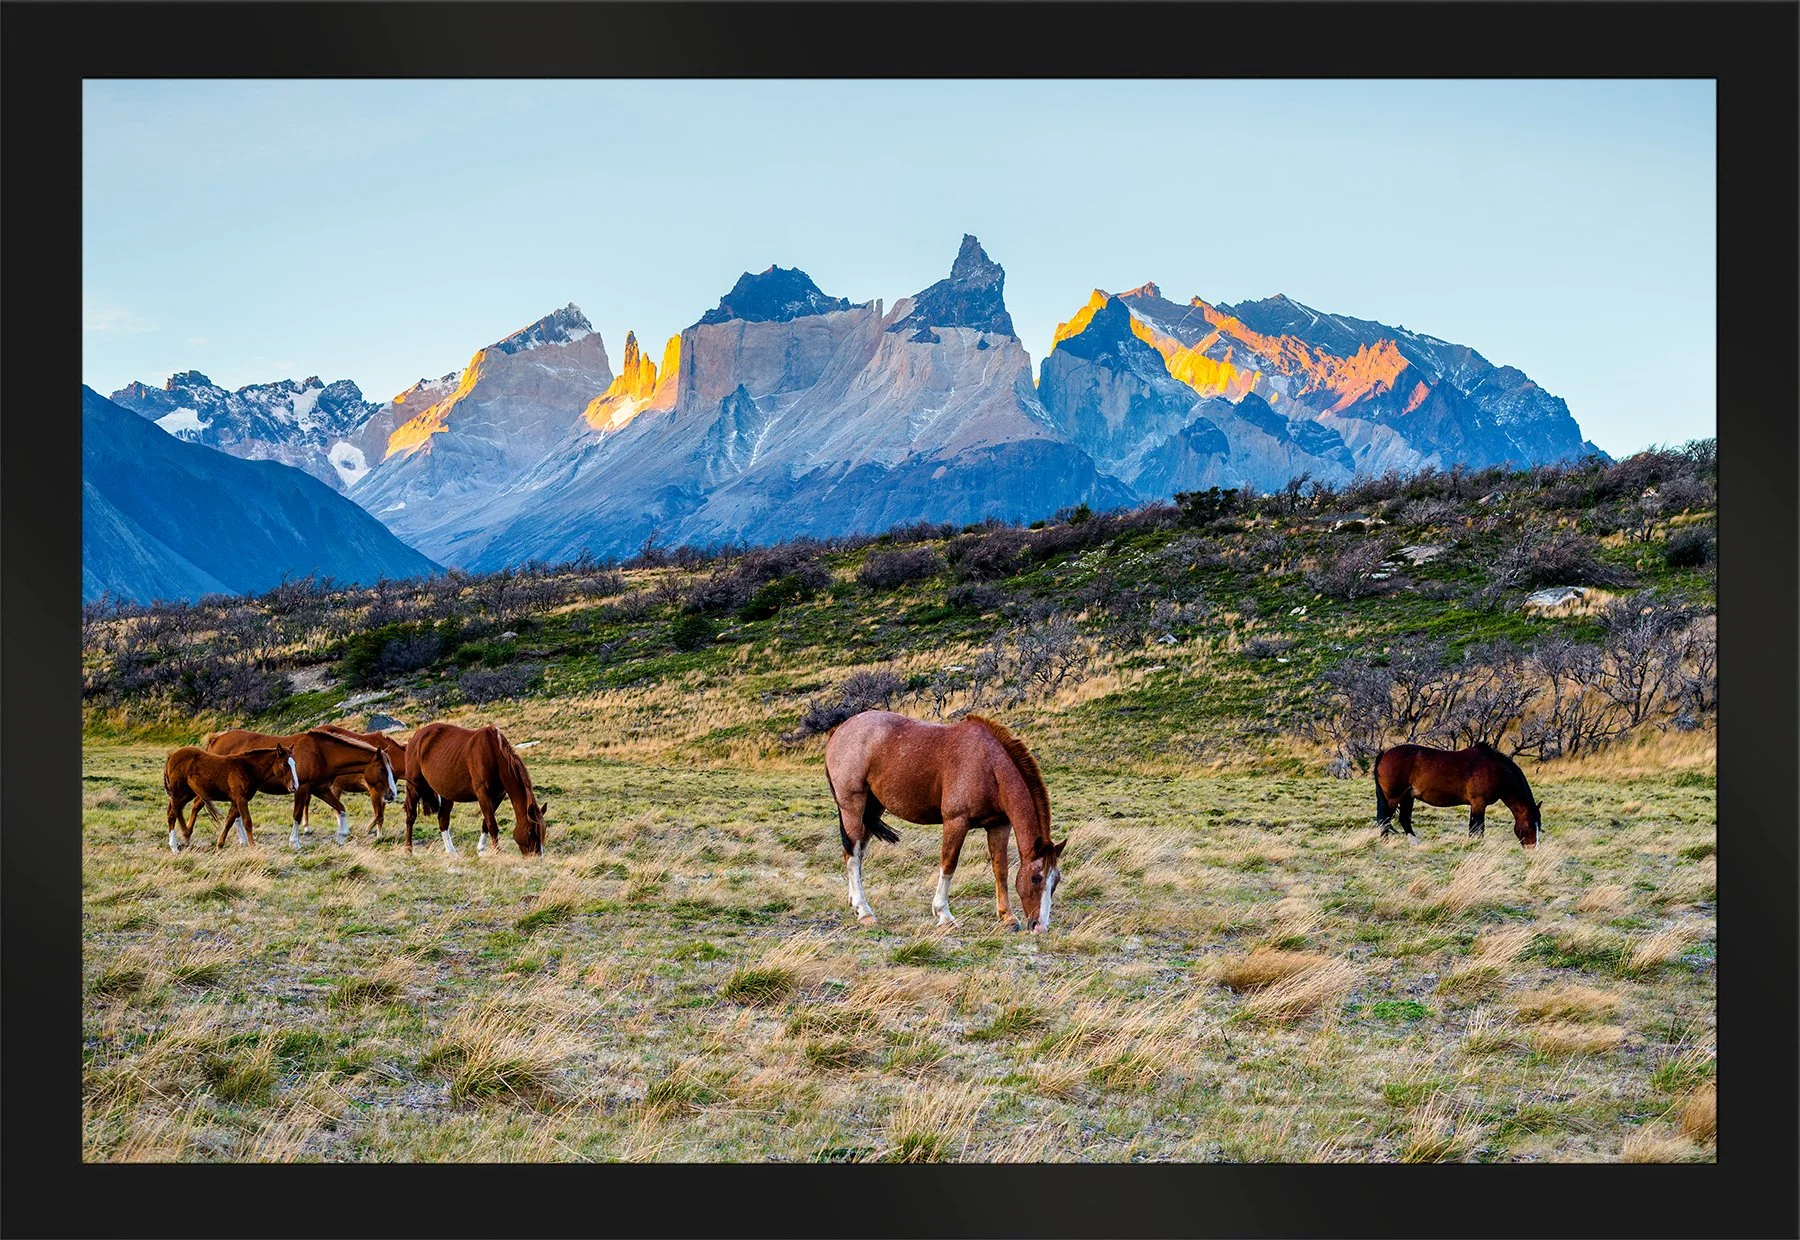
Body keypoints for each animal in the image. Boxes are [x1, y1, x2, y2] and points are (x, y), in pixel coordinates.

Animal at [163, 744, 297, 852]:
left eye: (294, 763)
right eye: (285, 764)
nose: (294, 786)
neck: (248, 769)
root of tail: (172, 755)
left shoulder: (235, 800)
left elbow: (229, 821)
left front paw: (219, 845)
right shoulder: (241, 799)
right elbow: (247, 822)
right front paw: (253, 846)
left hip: (188, 792)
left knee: (178, 810)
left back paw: (186, 836)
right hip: (177, 792)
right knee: (172, 814)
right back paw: (174, 847)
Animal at [204, 727, 396, 848]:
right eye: (382, 769)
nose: (392, 794)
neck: (320, 754)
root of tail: (217, 739)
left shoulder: (321, 789)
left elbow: (340, 808)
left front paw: (342, 836)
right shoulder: (302, 789)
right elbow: (297, 815)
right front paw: (294, 842)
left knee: (235, 814)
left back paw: (242, 840)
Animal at [402, 722, 549, 857]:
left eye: (543, 831)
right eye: (531, 831)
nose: (537, 857)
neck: (494, 755)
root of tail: (416, 736)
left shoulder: (497, 796)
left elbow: (486, 823)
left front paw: (481, 850)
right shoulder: (483, 794)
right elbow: (492, 825)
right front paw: (497, 853)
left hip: (446, 793)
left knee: (443, 819)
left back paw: (452, 852)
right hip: (413, 787)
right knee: (411, 817)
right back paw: (408, 850)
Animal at [823, 711, 1068, 933]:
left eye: (1055, 881)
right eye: (1036, 878)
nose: (1040, 927)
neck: (989, 766)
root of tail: (839, 731)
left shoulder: (999, 825)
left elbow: (1001, 869)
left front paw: (1006, 917)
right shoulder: (956, 822)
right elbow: (949, 865)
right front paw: (944, 915)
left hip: (872, 808)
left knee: (858, 853)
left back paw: (855, 903)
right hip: (853, 808)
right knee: (852, 855)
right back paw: (865, 912)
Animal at [1373, 742, 1543, 849]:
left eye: (1538, 826)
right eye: (1529, 825)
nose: (1533, 848)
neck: (1496, 770)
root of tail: (1385, 753)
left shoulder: (1476, 805)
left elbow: (1474, 827)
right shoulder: (1478, 803)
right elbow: (1477, 827)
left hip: (1408, 797)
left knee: (1403, 819)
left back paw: (1415, 843)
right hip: (1393, 798)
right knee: (1385, 819)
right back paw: (1386, 842)